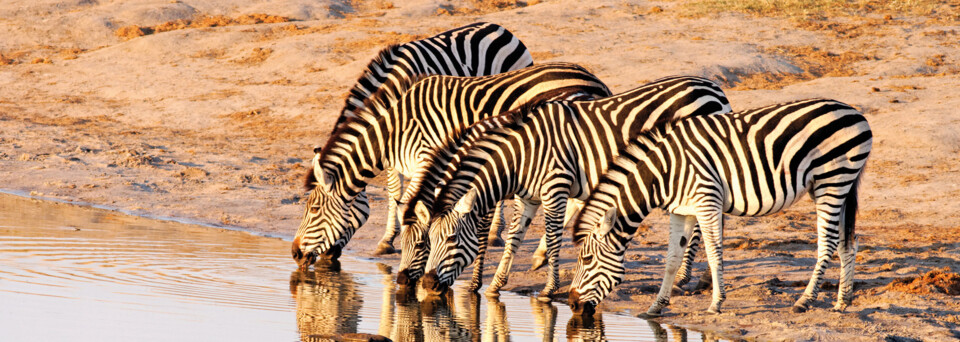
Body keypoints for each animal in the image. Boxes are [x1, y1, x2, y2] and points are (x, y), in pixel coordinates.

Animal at [290, 62, 608, 268]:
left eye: (313, 209)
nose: (293, 254)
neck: (395, 129)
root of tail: (594, 79)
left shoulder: (428, 158)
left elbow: (415, 208)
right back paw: (542, 253)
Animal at [316, 21, 536, 258]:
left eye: (318, 211)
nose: (323, 260)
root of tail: (500, 27)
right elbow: (395, 190)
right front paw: (390, 238)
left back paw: (495, 232)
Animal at [416, 75, 732, 300]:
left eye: (451, 239)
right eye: (428, 239)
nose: (427, 284)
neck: (522, 155)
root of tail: (713, 88)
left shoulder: (554, 187)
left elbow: (554, 237)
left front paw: (548, 289)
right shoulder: (528, 197)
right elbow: (514, 238)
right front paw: (496, 285)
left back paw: (686, 278)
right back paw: (698, 278)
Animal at [568, 97, 872, 316]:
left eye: (587, 259)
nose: (571, 304)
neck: (664, 172)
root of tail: (856, 114)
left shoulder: (707, 201)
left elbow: (714, 254)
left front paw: (716, 304)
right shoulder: (681, 210)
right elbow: (671, 258)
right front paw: (656, 306)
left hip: (832, 180)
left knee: (828, 242)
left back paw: (805, 300)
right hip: (834, 186)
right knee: (848, 242)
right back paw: (842, 301)